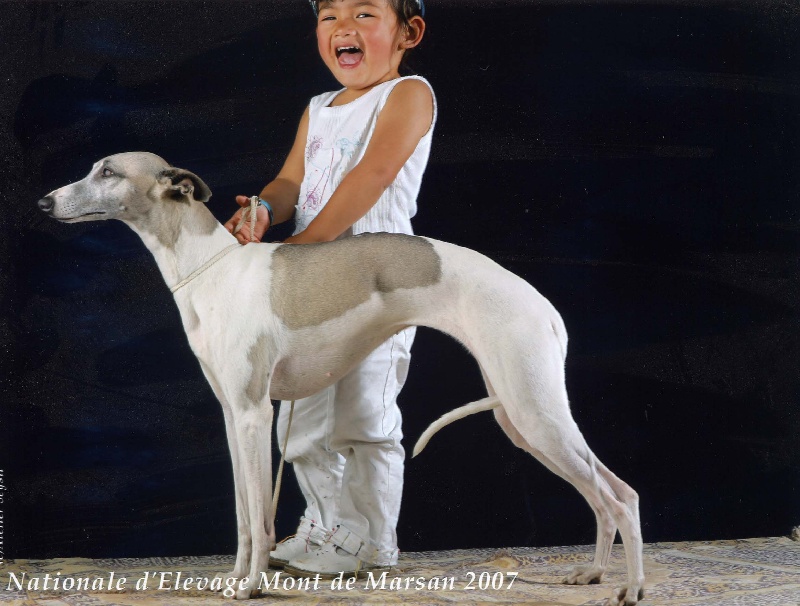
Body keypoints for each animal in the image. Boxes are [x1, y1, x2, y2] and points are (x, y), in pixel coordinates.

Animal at [39, 153, 644, 604]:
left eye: (108, 171)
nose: (44, 202)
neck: (210, 269)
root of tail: (543, 305)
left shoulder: (256, 415)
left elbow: (259, 518)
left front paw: (252, 586)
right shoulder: (234, 418)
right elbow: (241, 515)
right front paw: (233, 578)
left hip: (533, 411)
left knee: (622, 496)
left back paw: (632, 588)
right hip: (521, 418)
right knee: (601, 494)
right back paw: (592, 574)